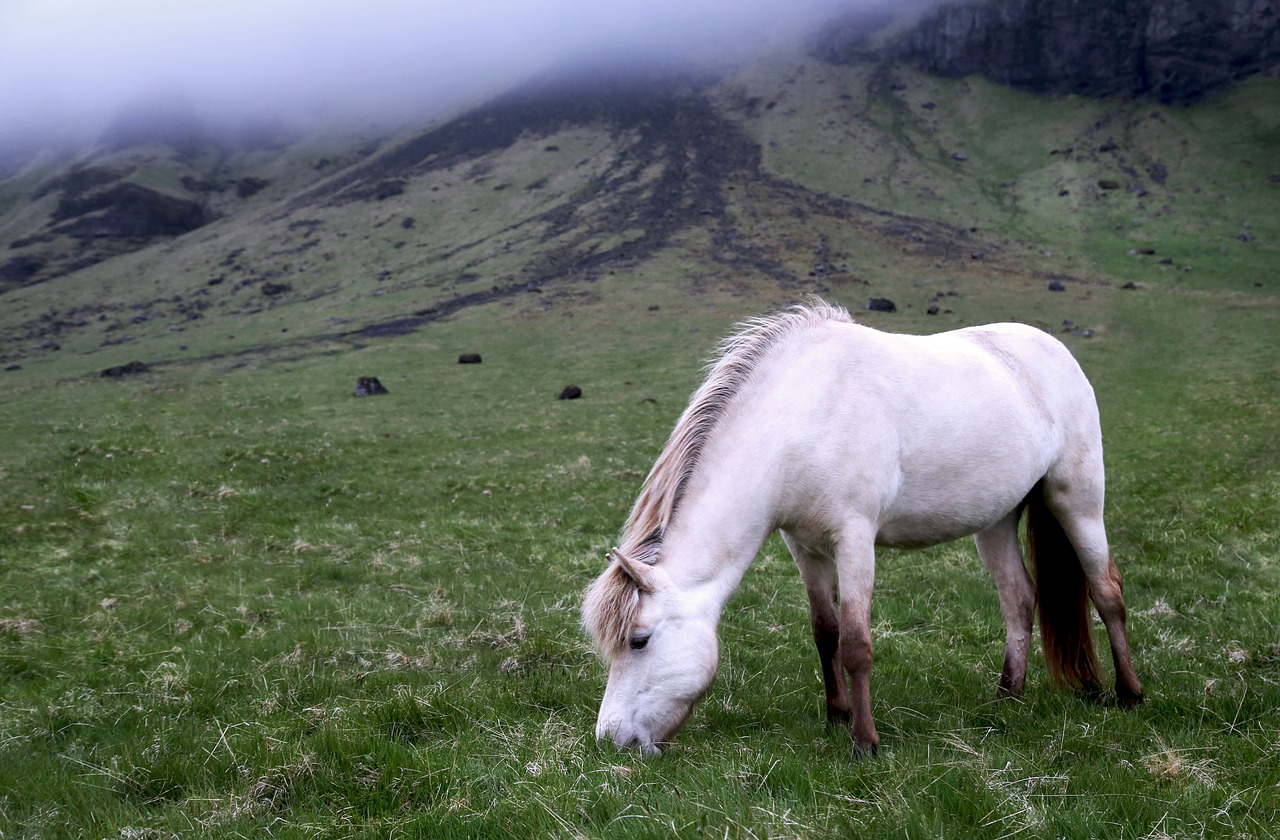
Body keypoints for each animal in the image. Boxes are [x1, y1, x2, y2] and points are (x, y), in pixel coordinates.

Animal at [581, 299, 1141, 752]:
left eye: (639, 640)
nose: (610, 739)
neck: (802, 417)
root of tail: (1053, 349)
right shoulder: (804, 547)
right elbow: (824, 632)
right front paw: (836, 715)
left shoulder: (854, 539)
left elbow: (855, 644)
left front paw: (864, 741)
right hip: (997, 521)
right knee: (1019, 599)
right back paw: (1008, 697)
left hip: (1077, 501)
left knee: (1106, 591)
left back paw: (1130, 693)